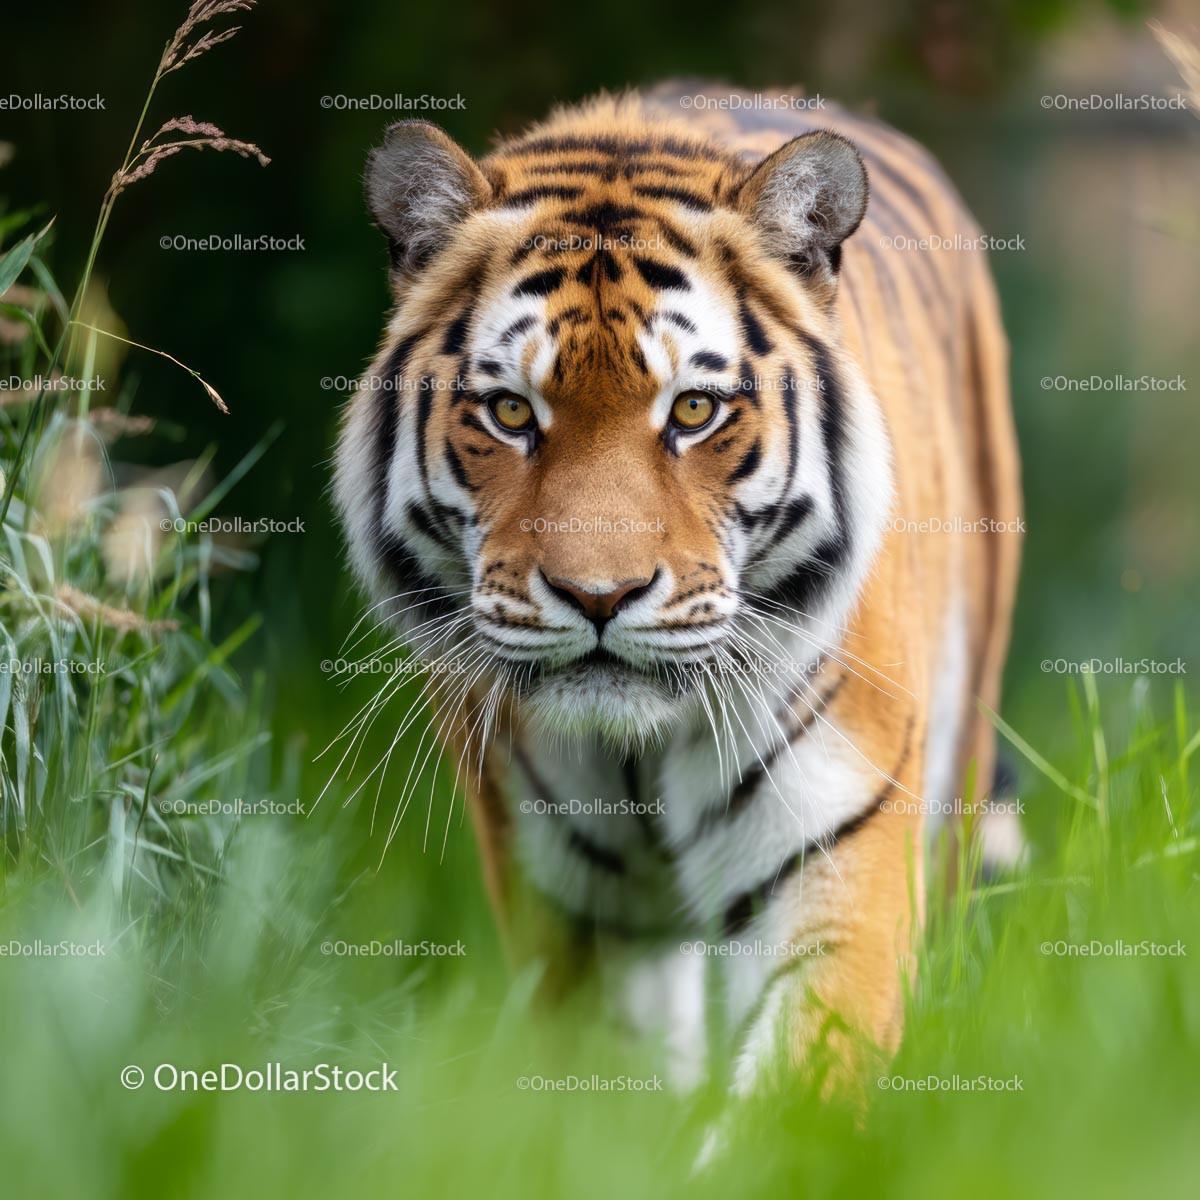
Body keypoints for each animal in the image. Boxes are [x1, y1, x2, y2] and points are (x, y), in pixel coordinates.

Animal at [333, 82, 1022, 1096]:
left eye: (693, 411)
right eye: (510, 412)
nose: (598, 596)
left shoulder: (837, 866)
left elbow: (793, 1096)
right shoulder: (573, 915)